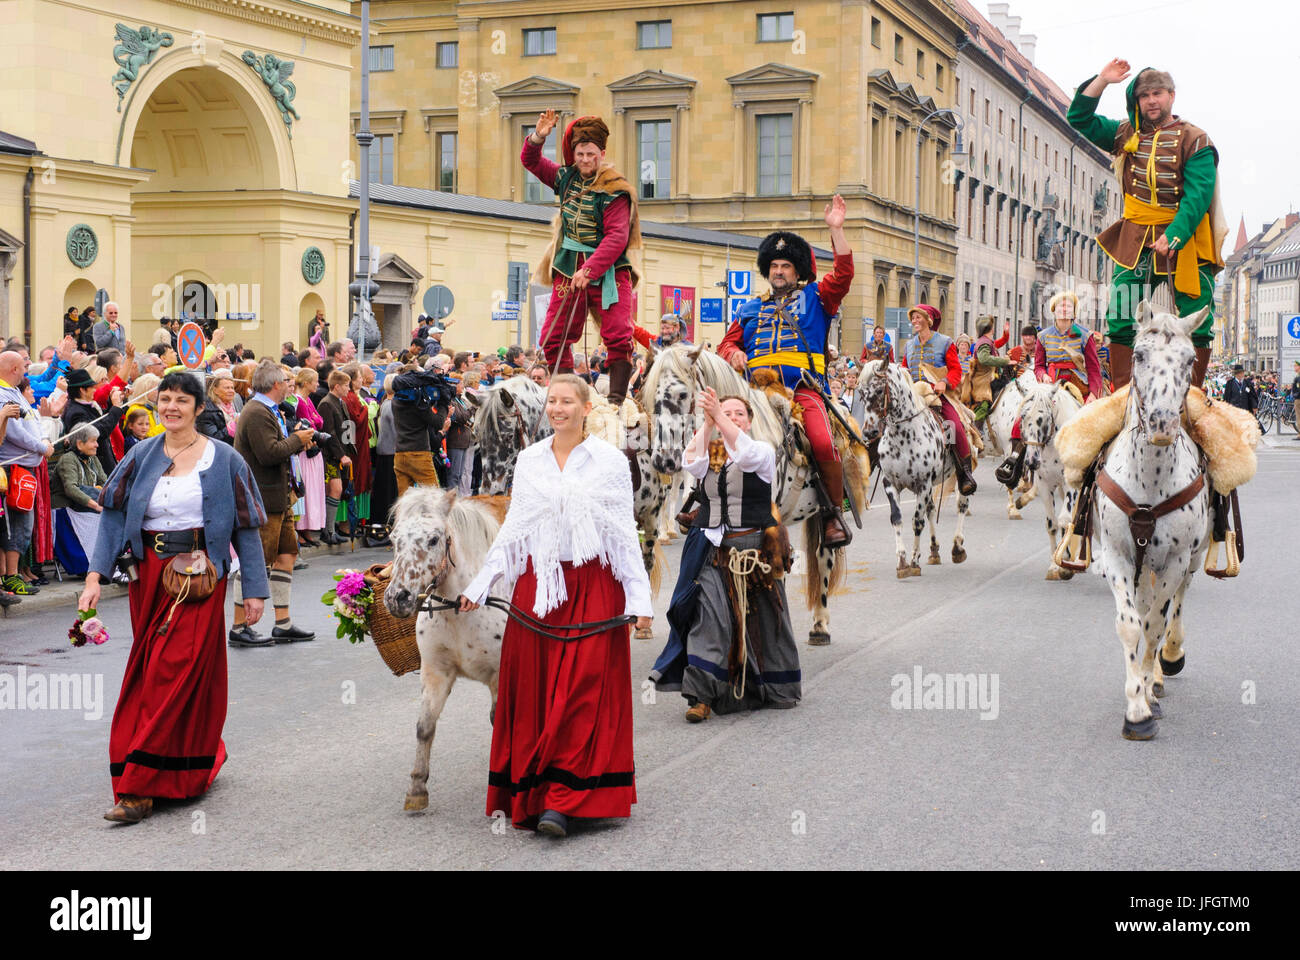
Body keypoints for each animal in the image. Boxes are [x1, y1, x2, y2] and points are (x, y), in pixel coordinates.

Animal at [857, 353, 972, 572]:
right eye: (860, 393)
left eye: (879, 390)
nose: (869, 432)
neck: (904, 436)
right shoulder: (891, 483)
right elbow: (897, 518)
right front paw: (902, 560)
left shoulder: (923, 483)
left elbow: (917, 521)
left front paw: (914, 560)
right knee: (931, 510)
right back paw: (934, 550)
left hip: (960, 477)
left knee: (961, 504)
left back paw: (958, 546)